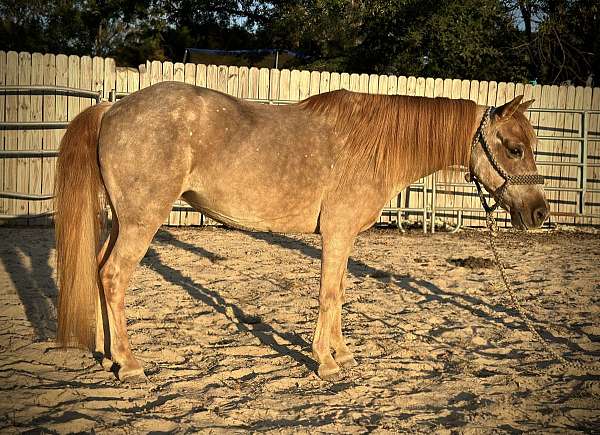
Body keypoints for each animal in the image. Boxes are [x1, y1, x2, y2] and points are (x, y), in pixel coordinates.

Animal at [56, 82, 548, 382]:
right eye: (514, 148)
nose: (540, 213)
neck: (372, 145)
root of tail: (114, 108)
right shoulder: (337, 233)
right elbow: (328, 293)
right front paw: (326, 362)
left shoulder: (344, 238)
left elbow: (340, 292)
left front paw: (342, 353)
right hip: (142, 220)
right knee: (113, 276)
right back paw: (129, 364)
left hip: (122, 221)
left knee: (98, 271)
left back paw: (107, 353)